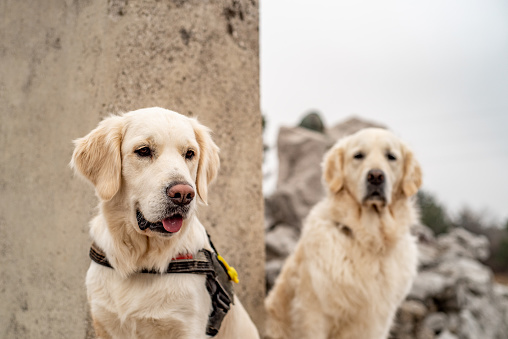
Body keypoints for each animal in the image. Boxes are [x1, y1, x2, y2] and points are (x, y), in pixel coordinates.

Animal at [71, 107, 260, 339]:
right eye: (143, 151)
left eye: (190, 153)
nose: (183, 194)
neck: (141, 261)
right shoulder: (104, 324)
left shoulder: (187, 327)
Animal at [264, 128, 422, 339]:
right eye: (358, 155)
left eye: (391, 157)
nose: (376, 176)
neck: (369, 239)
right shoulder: (313, 311)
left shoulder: (377, 320)